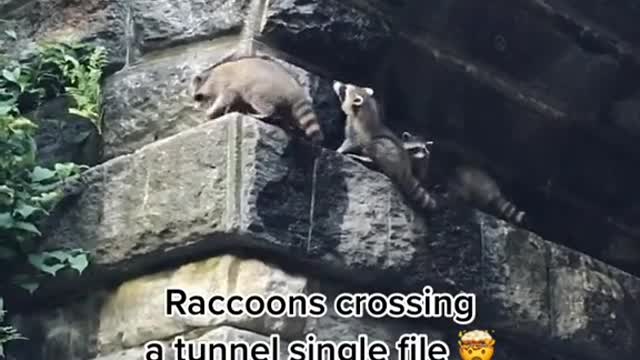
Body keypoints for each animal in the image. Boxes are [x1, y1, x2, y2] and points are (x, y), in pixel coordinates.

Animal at [332, 81, 438, 211]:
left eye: (343, 89)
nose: (335, 82)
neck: (366, 106)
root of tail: (406, 170)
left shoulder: (356, 128)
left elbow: (352, 141)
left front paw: (339, 149)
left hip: (389, 153)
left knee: (376, 145)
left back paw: (368, 159)